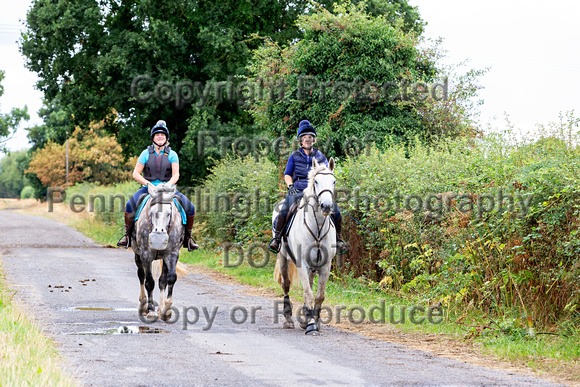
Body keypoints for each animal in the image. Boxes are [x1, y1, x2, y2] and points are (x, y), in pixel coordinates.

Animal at [132, 183, 185, 322]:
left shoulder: (172, 254)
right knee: (141, 275)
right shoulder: (146, 255)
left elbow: (170, 278)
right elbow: (149, 282)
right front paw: (151, 310)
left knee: (162, 281)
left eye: (169, 213)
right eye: (152, 212)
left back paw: (161, 308)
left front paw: (166, 309)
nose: (159, 234)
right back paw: (144, 305)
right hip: (137, 254)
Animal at [274, 158, 338, 336]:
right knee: (286, 285)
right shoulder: (302, 263)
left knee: (308, 283)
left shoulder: (325, 266)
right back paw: (289, 319)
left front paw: (314, 321)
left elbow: (319, 295)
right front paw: (310, 325)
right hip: (283, 258)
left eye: (334, 181)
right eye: (316, 181)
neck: (317, 228)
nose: (326, 206)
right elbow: (308, 293)